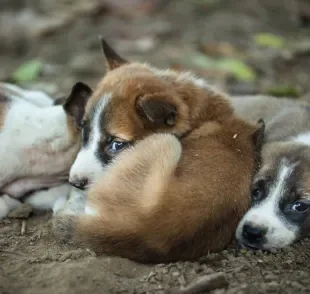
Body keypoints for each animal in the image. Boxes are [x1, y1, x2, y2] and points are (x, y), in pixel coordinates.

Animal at [52, 38, 262, 262]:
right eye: (85, 130)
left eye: (116, 144)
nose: (75, 182)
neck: (202, 114)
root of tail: (142, 231)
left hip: (165, 141)